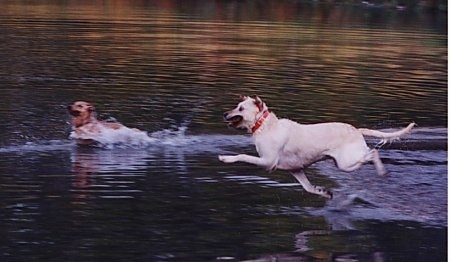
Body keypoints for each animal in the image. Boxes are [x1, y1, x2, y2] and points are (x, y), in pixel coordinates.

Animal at [218, 96, 414, 199]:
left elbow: (242, 156)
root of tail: (357, 130)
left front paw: (226, 158)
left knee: (373, 153)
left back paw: (382, 171)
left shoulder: (267, 162)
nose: (224, 113)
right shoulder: (296, 169)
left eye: (240, 108)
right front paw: (324, 192)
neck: (265, 125)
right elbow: (308, 187)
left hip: (346, 163)